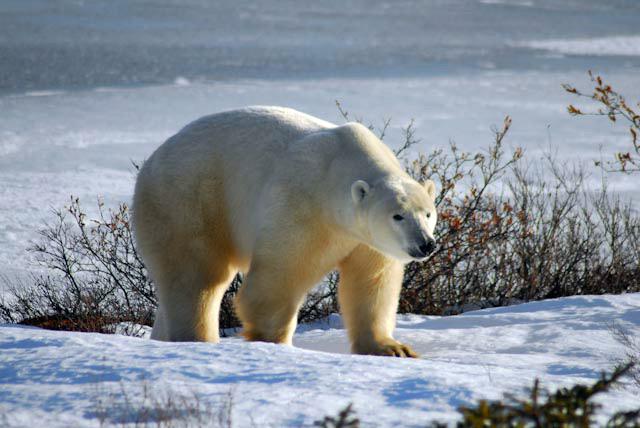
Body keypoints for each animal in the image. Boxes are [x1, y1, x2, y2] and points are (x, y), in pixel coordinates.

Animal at [132, 106, 438, 358]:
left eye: (427, 213)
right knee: (198, 275)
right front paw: (273, 342)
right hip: (188, 200)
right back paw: (197, 340)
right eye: (397, 216)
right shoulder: (302, 205)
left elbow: (371, 283)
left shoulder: (366, 241)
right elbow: (280, 275)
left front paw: (393, 349)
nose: (426, 244)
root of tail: (151, 161)